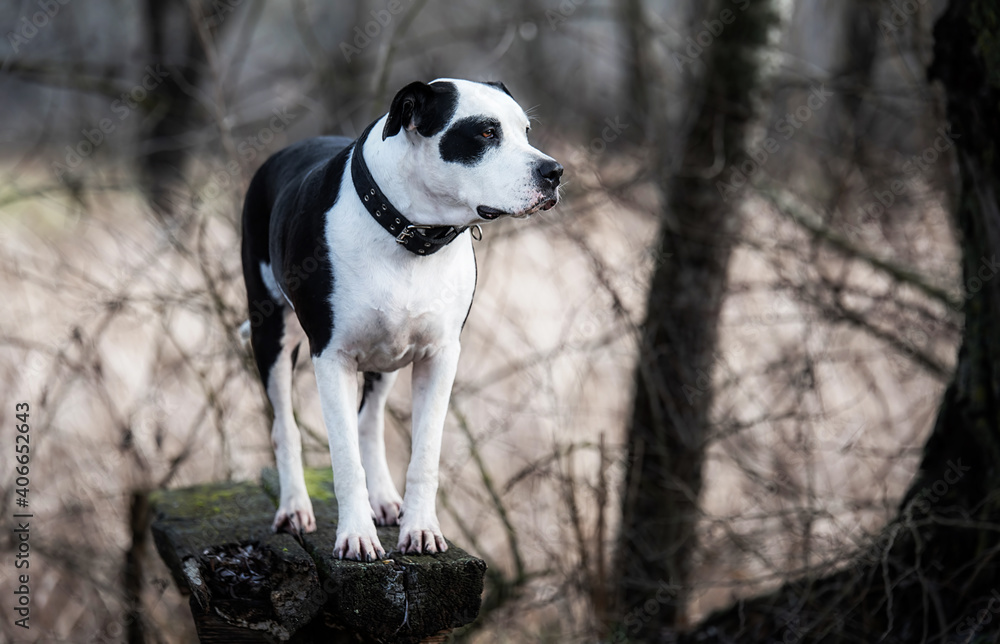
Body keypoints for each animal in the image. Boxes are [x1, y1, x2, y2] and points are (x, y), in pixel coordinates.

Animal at [238, 78, 560, 560]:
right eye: (486, 133)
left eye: (525, 131)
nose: (554, 171)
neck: (411, 234)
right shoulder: (331, 357)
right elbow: (344, 459)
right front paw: (355, 535)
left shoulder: (439, 358)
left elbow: (424, 454)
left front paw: (421, 528)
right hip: (269, 334)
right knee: (285, 428)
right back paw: (294, 507)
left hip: (386, 354)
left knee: (368, 422)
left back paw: (385, 500)